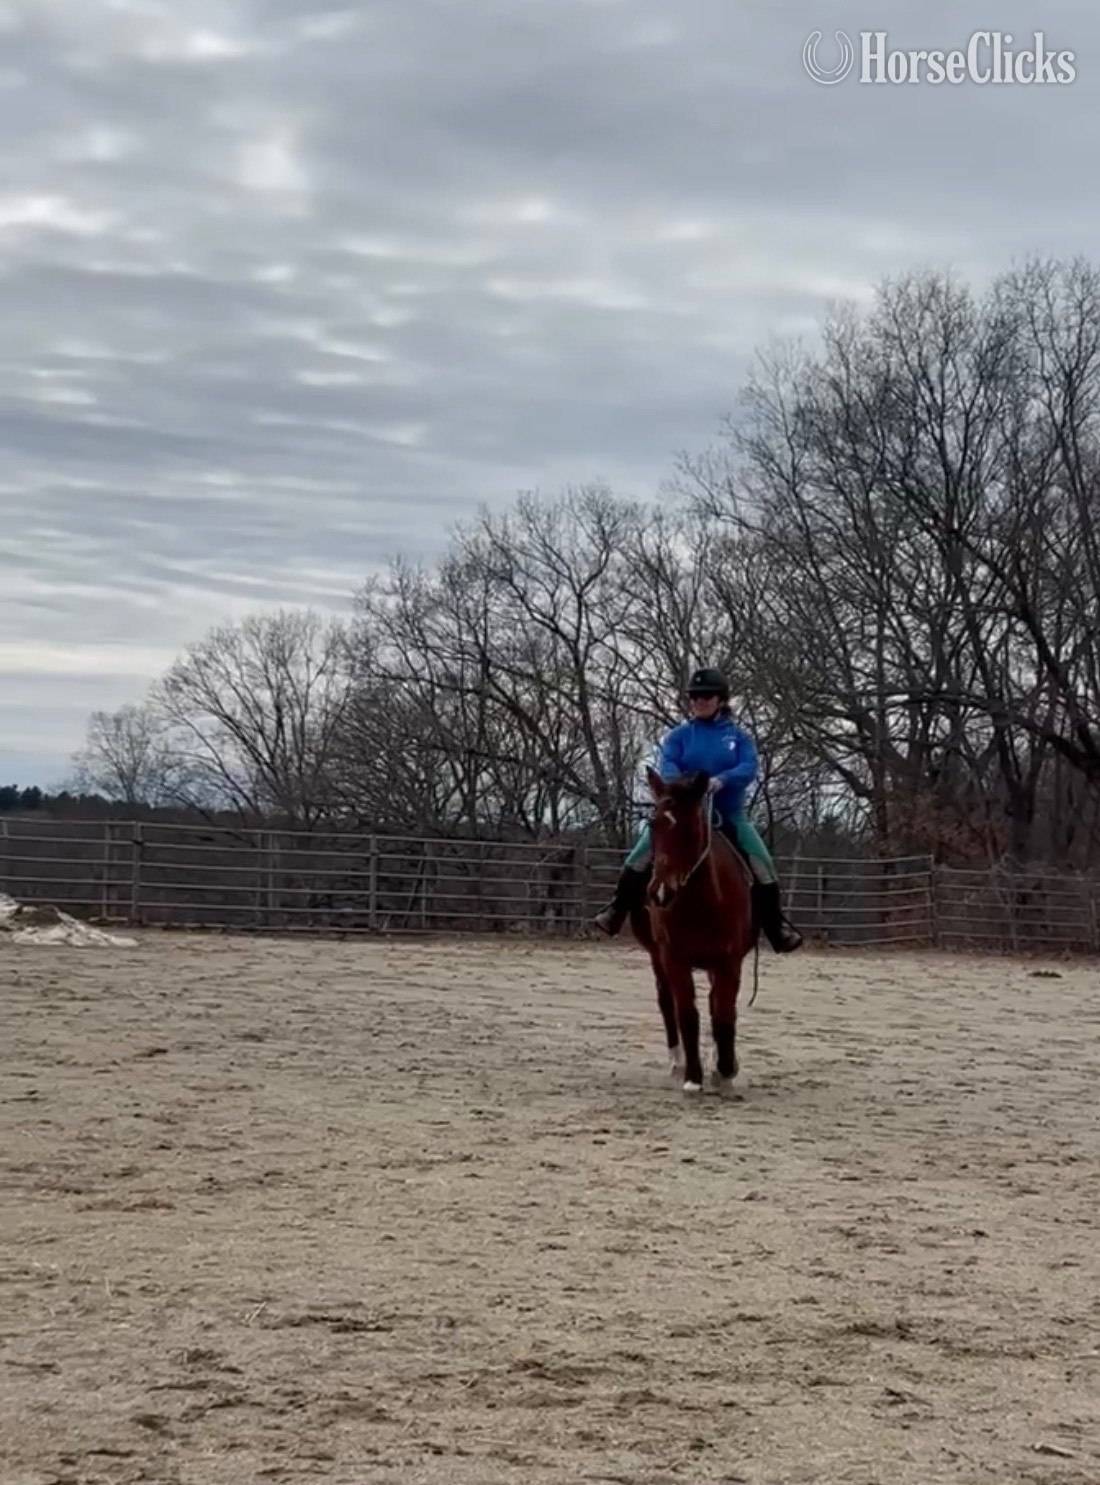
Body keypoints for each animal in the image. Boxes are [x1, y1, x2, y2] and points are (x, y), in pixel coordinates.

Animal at [626, 767, 758, 1093]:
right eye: (653, 824)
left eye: (690, 828)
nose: (660, 892)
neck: (701, 902)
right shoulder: (674, 958)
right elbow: (686, 1013)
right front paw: (693, 1077)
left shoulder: (728, 960)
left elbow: (723, 1013)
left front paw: (725, 1069)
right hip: (657, 957)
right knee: (666, 1002)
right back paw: (678, 1061)